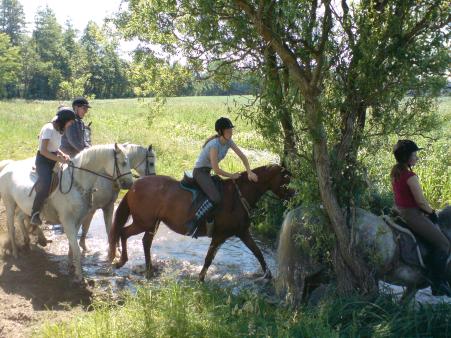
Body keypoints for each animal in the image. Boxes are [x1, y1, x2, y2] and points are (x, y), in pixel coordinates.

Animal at [0, 144, 134, 282]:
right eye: (123, 163)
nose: (130, 184)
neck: (76, 183)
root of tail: (8, 166)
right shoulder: (67, 220)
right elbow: (76, 248)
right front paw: (80, 276)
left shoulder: (78, 220)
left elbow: (72, 245)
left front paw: (71, 265)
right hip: (9, 204)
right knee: (11, 227)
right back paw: (15, 252)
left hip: (25, 207)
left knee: (20, 218)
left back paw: (28, 241)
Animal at [109, 165, 294, 282]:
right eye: (285, 179)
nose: (294, 193)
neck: (238, 197)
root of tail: (134, 185)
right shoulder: (220, 235)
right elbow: (208, 258)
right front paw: (201, 279)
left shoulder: (242, 232)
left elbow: (258, 253)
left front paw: (268, 275)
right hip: (144, 222)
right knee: (124, 233)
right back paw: (122, 261)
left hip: (153, 223)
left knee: (145, 242)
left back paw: (149, 269)